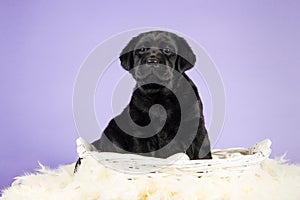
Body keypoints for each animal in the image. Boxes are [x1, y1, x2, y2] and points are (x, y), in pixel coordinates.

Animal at [75, 31, 211, 172]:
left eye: (167, 50)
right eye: (141, 49)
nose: (151, 61)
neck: (159, 95)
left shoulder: (195, 127)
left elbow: (202, 152)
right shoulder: (141, 133)